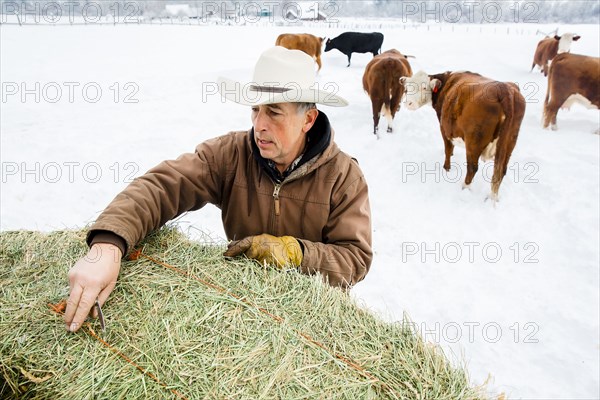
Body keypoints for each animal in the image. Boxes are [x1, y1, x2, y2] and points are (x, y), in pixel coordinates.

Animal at [404, 70, 524, 202]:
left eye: (424, 87)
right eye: (406, 88)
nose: (409, 103)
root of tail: (505, 90)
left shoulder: (444, 129)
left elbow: (448, 149)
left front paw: (446, 168)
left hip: (474, 142)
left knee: (472, 168)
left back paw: (465, 187)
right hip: (509, 144)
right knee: (501, 171)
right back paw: (493, 198)